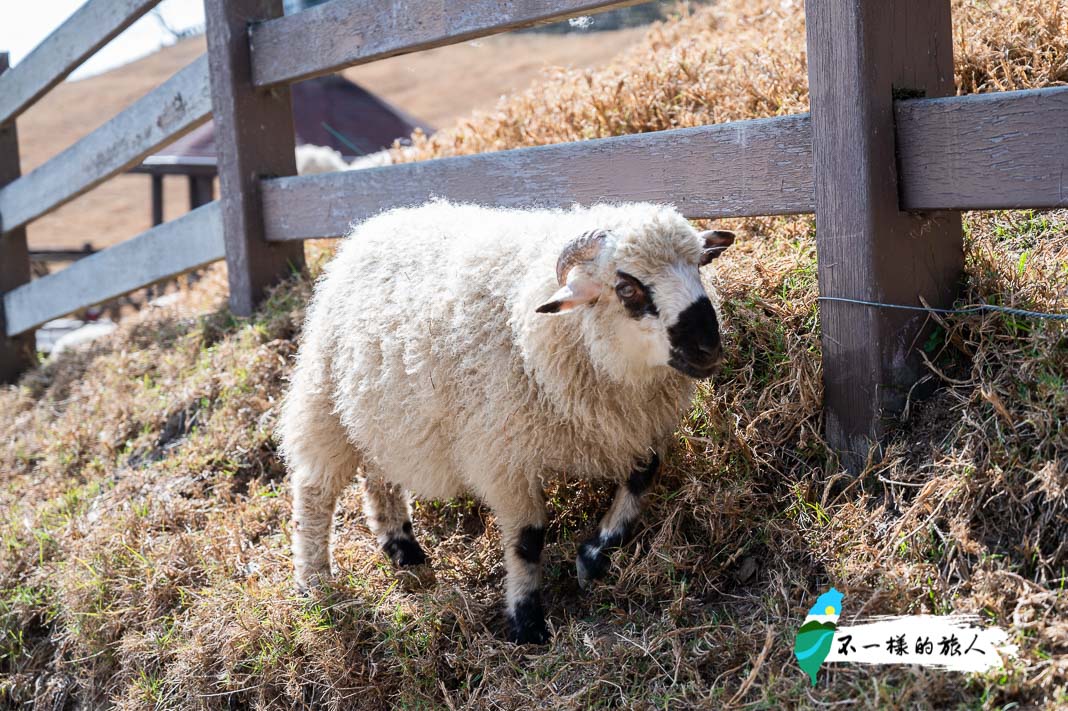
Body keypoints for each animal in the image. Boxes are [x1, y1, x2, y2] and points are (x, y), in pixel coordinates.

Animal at [277, 199, 734, 640]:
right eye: (627, 288)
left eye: (698, 267)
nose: (708, 347)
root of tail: (372, 226)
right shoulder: (503, 455)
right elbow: (527, 539)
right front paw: (526, 622)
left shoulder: (636, 429)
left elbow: (643, 479)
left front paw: (592, 557)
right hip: (324, 399)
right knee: (315, 490)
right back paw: (314, 584)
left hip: (380, 413)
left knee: (378, 475)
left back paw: (404, 552)